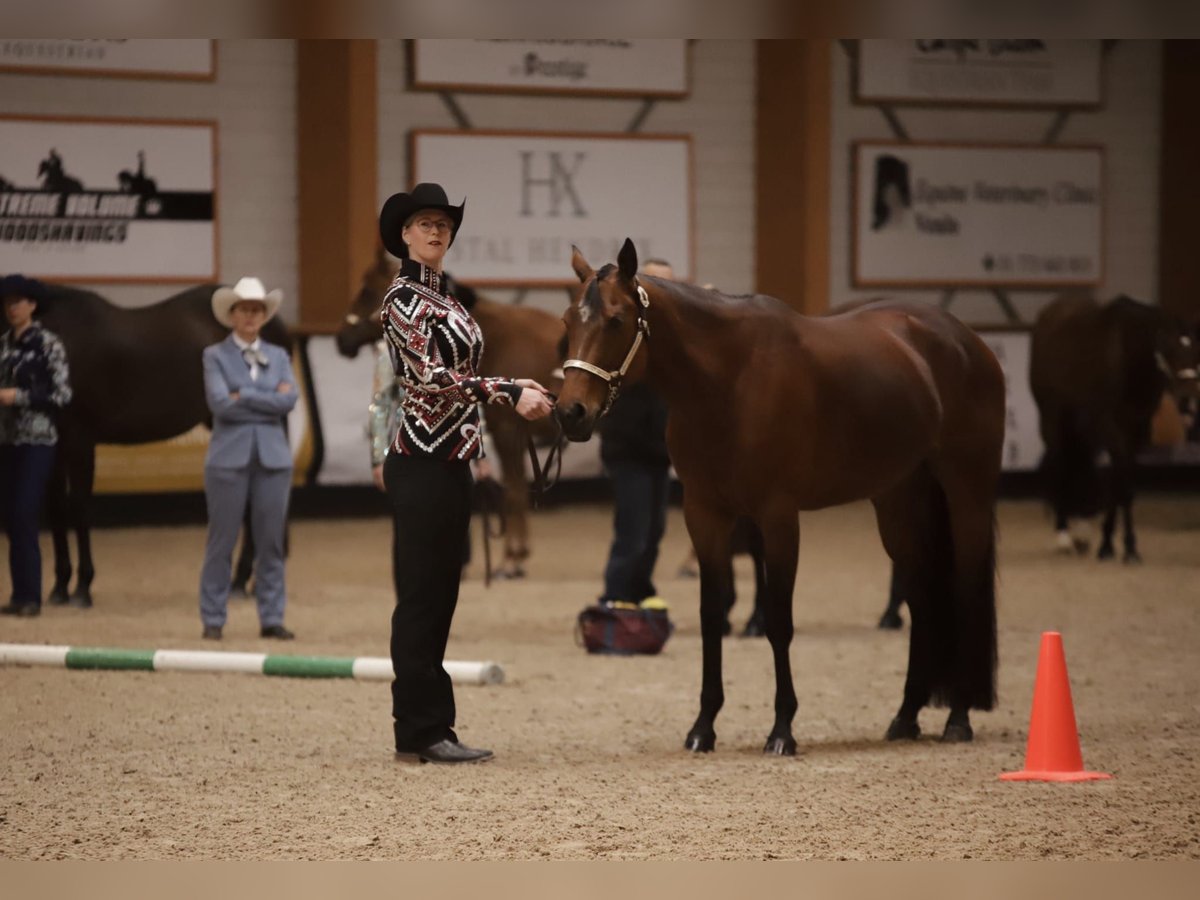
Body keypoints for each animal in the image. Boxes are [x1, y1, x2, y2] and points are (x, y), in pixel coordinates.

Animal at [35, 283, 289, 604]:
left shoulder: (80, 439)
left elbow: (79, 506)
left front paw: (82, 587)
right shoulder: (53, 444)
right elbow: (56, 507)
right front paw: (59, 586)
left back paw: (244, 582)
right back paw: (244, 583)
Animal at [336, 247, 565, 578]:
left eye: (366, 290)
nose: (341, 339)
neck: (502, 338)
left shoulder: (508, 432)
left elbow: (515, 490)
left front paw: (513, 558)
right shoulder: (513, 434)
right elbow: (516, 487)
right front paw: (516, 555)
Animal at [556, 239, 1004, 754]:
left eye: (614, 320)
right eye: (568, 321)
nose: (570, 413)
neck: (730, 380)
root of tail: (967, 342)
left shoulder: (778, 517)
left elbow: (778, 620)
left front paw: (782, 729)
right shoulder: (704, 514)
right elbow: (712, 615)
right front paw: (703, 726)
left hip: (967, 493)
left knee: (965, 589)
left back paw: (958, 717)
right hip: (898, 505)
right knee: (920, 598)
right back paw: (906, 716)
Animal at [1029, 292, 1200, 562]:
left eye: (1195, 349)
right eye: (1168, 349)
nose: (1188, 399)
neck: (1129, 359)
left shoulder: (1136, 432)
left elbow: (1121, 484)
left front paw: (1115, 545)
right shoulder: (1110, 426)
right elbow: (1124, 487)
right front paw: (1122, 547)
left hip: (1082, 427)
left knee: (1081, 460)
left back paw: (1082, 531)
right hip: (1052, 417)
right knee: (1059, 461)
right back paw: (1064, 535)